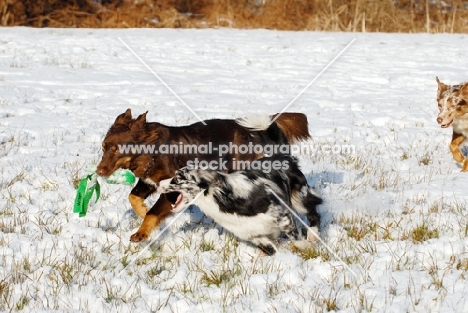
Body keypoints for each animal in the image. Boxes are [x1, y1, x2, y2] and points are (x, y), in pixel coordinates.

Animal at [95, 108, 310, 240]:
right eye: (104, 147)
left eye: (116, 149)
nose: (98, 171)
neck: (152, 151)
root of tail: (259, 132)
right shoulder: (148, 181)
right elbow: (133, 197)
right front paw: (141, 211)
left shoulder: (173, 187)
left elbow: (153, 212)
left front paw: (141, 233)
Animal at [157, 155, 322, 255]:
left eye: (178, 178)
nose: (158, 184)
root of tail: (287, 158)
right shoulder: (252, 235)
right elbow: (271, 249)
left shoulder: (282, 216)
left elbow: (297, 240)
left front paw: (308, 248)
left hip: (299, 199)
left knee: (314, 212)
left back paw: (313, 234)